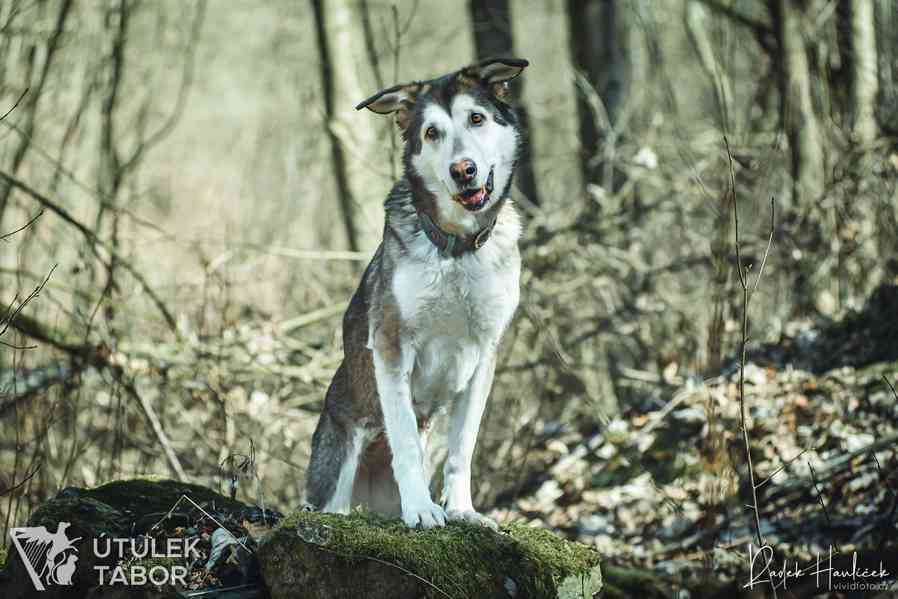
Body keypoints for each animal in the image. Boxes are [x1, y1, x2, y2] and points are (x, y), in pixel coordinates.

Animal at [302, 57, 524, 528]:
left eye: (476, 119)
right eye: (432, 133)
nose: (463, 170)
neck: (457, 249)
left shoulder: (485, 352)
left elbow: (463, 447)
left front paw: (461, 510)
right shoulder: (391, 343)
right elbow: (403, 439)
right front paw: (422, 510)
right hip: (336, 465)